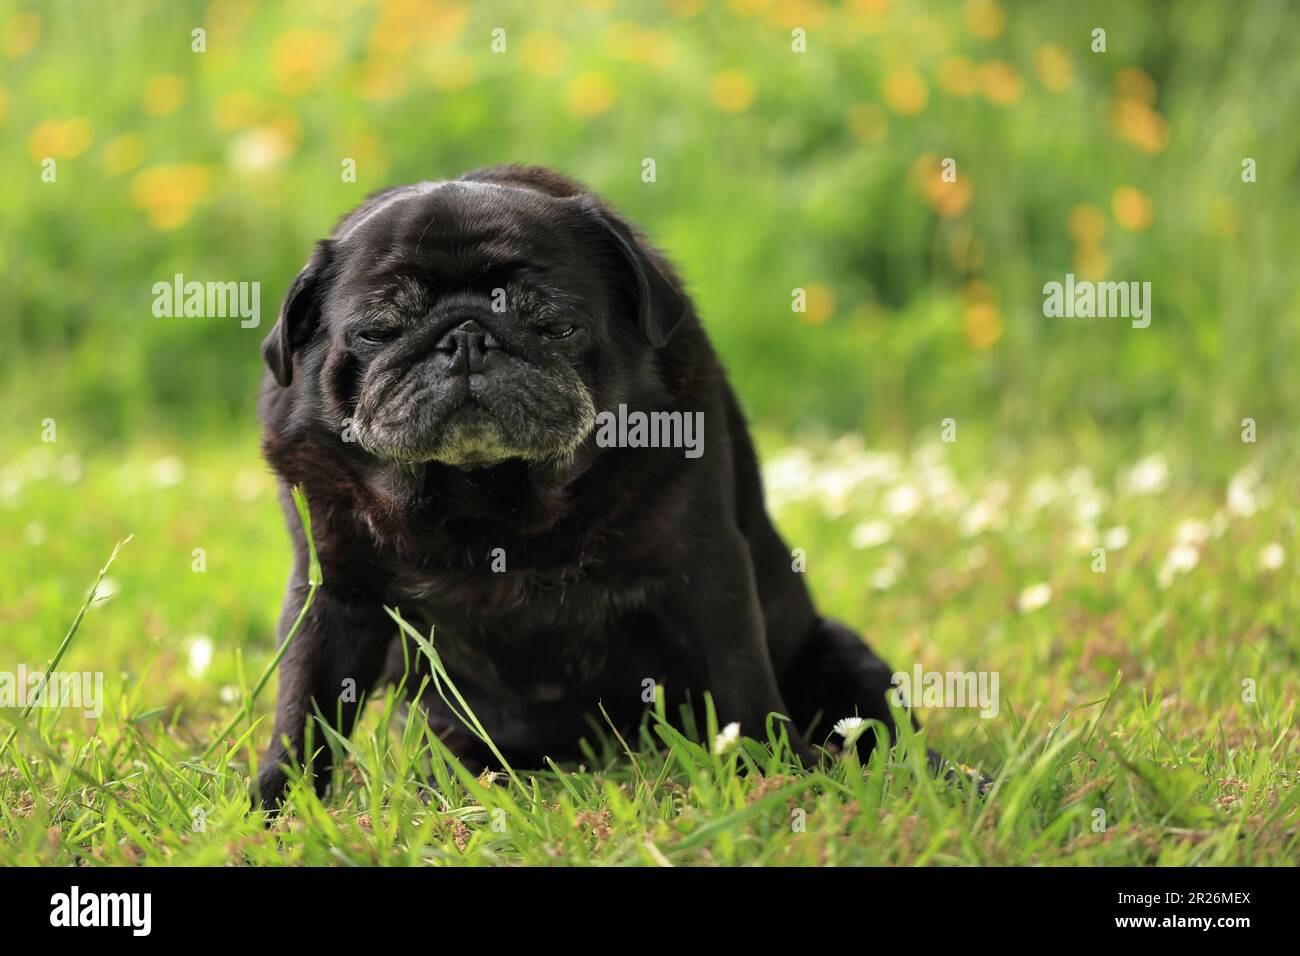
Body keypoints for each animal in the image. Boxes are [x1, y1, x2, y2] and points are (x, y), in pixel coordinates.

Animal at [253, 162, 904, 806]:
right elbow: (303, 708)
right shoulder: (331, 594)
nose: (466, 338)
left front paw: (775, 773)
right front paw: (277, 804)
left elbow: (740, 681)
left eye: (557, 326)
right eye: (376, 333)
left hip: (842, 657)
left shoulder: (705, 573)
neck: (485, 497)